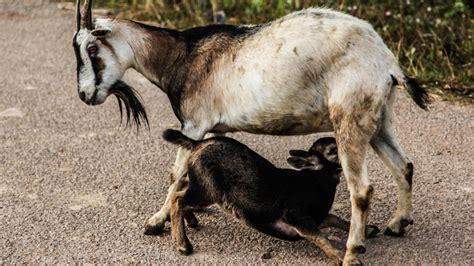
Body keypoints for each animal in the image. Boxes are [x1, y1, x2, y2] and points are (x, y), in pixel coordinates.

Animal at [71, 0, 430, 262]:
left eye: (92, 49)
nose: (85, 95)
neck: (182, 55)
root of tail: (387, 63)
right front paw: (188, 218)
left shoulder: (194, 125)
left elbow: (176, 173)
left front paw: (156, 223)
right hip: (379, 120)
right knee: (404, 166)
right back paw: (397, 225)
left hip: (349, 119)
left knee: (361, 190)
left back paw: (354, 250)